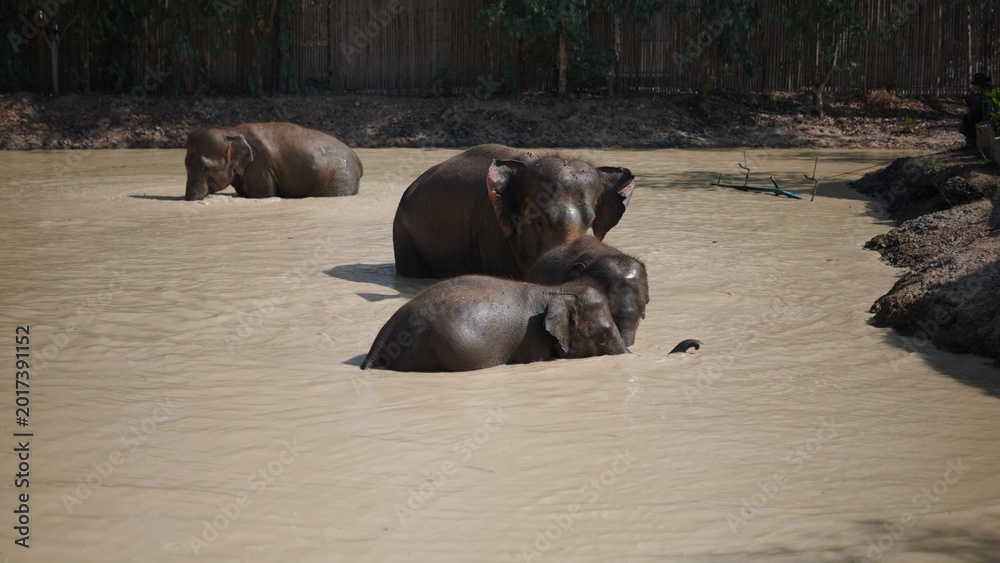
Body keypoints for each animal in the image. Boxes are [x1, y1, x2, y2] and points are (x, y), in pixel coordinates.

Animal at [183, 122, 362, 201]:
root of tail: (358, 161)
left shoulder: (260, 167)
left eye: (206, 168)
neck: (230, 131)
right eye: (185, 164)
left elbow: (264, 195)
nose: (189, 199)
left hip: (340, 178)